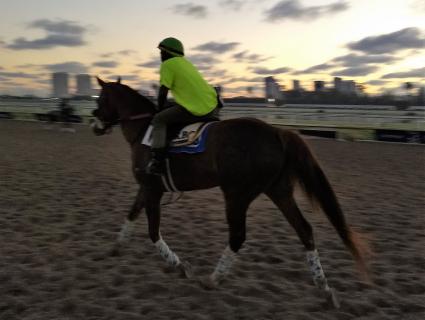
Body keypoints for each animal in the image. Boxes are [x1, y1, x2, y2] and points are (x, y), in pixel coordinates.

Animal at [92, 77, 368, 308]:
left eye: (101, 98)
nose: (95, 124)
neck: (144, 130)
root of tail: (277, 132)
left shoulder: (152, 188)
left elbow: (152, 231)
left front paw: (179, 265)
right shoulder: (146, 187)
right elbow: (131, 214)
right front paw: (116, 246)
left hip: (237, 195)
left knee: (238, 236)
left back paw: (213, 279)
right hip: (278, 191)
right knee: (305, 230)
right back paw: (325, 289)